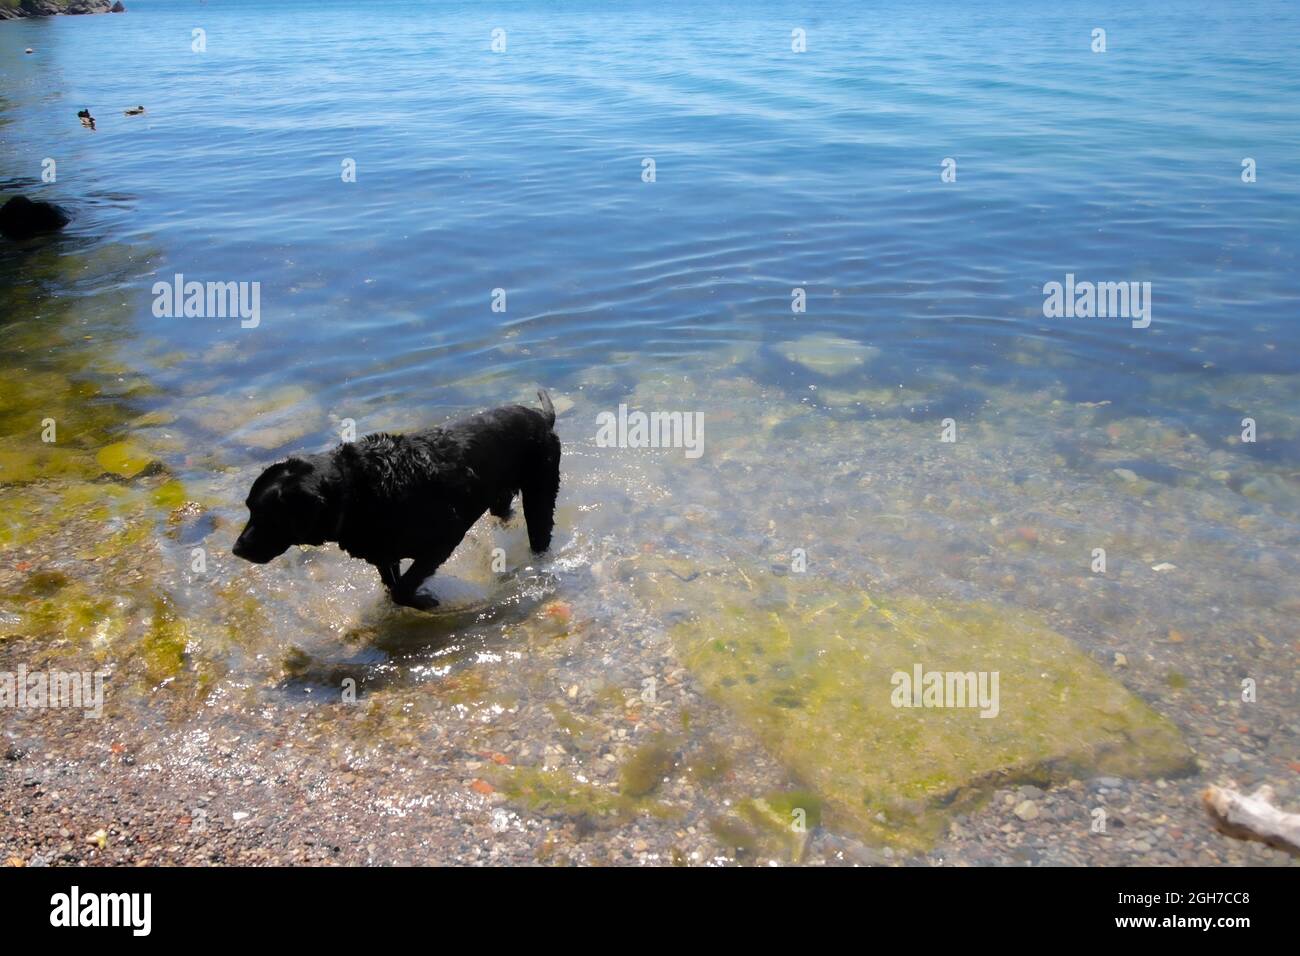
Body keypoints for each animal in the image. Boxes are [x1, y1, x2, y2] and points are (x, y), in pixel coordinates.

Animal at [233, 392, 559, 608]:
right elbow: (393, 586)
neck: (357, 492)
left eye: (267, 515)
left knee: (540, 533)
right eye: (249, 509)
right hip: (499, 496)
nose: (236, 549)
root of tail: (542, 418)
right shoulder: (383, 552)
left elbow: (404, 587)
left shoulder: (445, 537)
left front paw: (425, 601)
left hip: (540, 495)